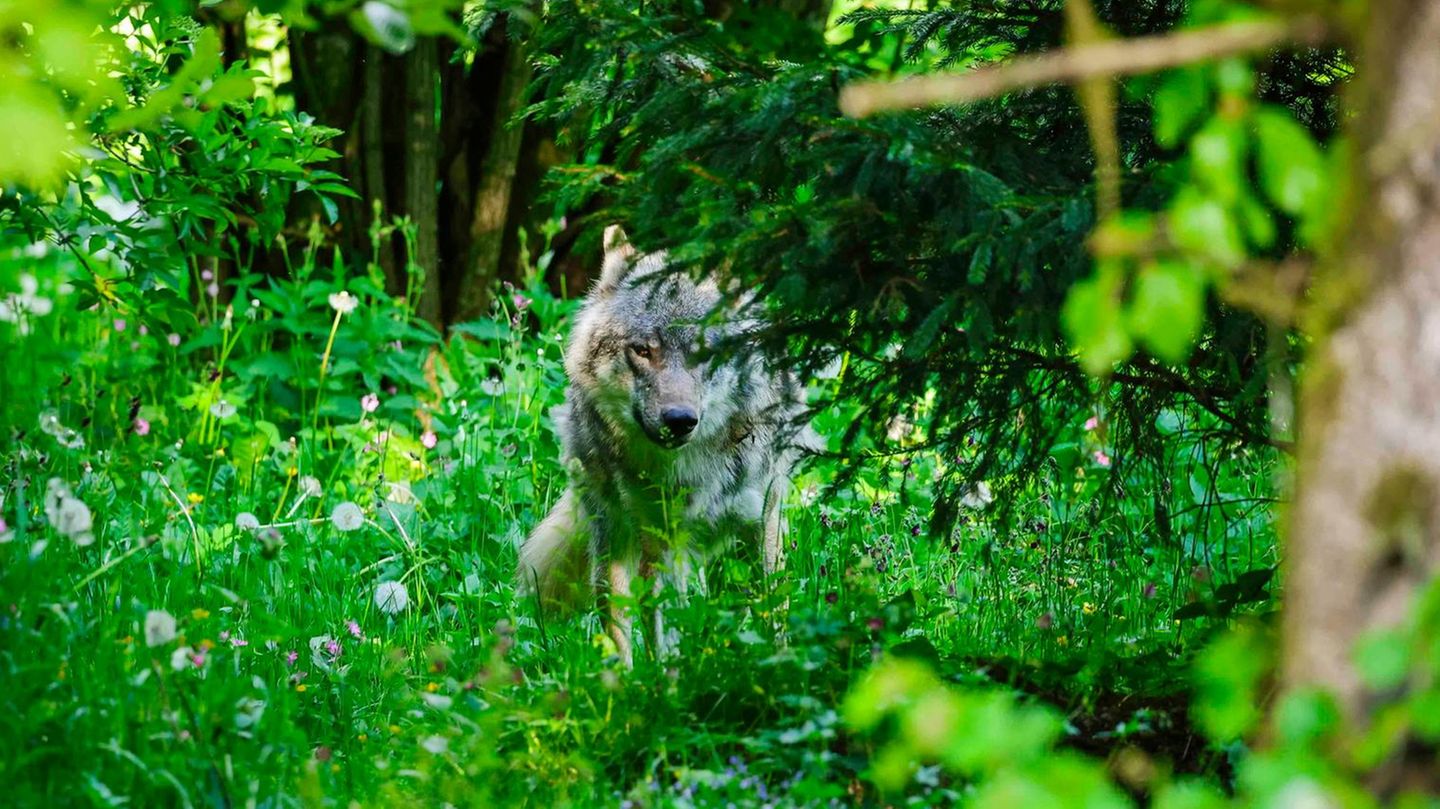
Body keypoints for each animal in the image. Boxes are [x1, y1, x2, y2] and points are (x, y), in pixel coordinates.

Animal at [518, 221, 812, 662]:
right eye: (642, 350)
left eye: (706, 352)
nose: (680, 421)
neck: (692, 467)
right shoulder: (661, 544)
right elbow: (663, 636)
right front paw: (668, 680)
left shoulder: (763, 523)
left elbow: (771, 615)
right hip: (613, 542)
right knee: (618, 626)